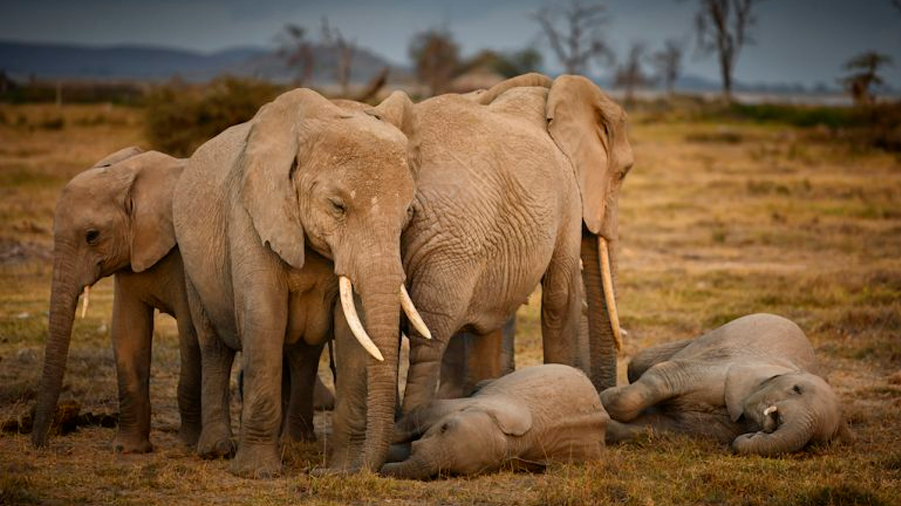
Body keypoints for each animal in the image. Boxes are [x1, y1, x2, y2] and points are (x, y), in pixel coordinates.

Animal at [31, 146, 202, 450]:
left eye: (92, 236)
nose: (40, 444)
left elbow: (190, 332)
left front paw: (187, 447)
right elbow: (127, 331)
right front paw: (128, 449)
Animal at [174, 88, 428, 478]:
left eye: (408, 214)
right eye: (338, 206)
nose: (320, 474)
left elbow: (354, 331)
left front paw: (343, 468)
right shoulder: (251, 213)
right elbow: (264, 317)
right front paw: (257, 473)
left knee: (302, 354)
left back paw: (295, 442)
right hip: (192, 264)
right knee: (214, 345)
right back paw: (216, 450)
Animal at [596, 312, 852, 454]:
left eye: (816, 440)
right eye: (796, 389)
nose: (754, 436)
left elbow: (664, 427)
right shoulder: (724, 371)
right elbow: (665, 377)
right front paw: (604, 399)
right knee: (639, 363)